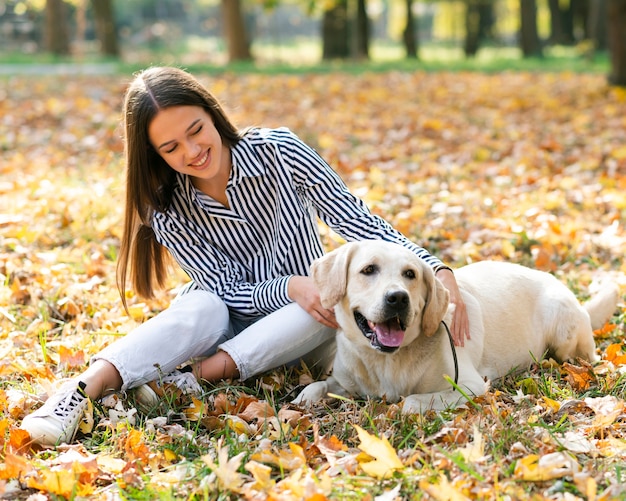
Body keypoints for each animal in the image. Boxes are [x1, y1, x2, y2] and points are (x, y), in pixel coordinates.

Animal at [294, 240, 620, 412]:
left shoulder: (469, 385)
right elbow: (316, 386)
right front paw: (302, 400)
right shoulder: (345, 382)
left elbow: (411, 400)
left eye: (410, 274)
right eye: (368, 269)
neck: (386, 360)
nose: (398, 298)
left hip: (563, 334)